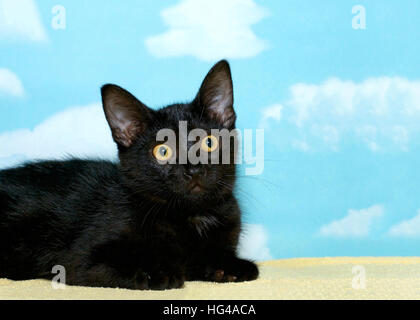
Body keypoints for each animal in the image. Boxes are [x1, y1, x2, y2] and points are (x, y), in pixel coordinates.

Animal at [0, 59, 258, 290]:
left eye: (209, 142)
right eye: (162, 151)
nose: (193, 169)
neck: (190, 215)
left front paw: (230, 266)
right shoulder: (77, 260)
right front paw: (155, 271)